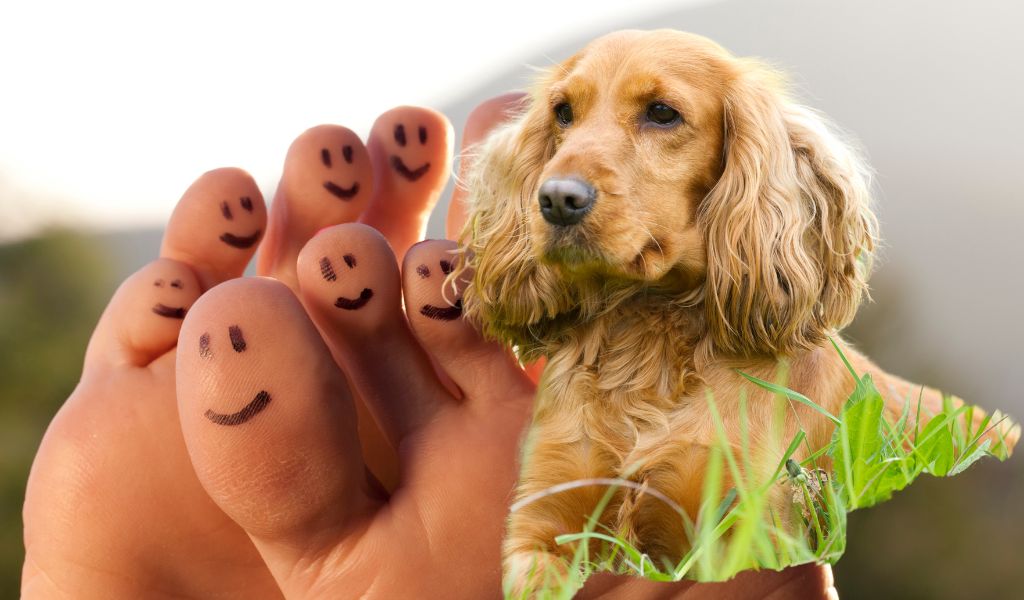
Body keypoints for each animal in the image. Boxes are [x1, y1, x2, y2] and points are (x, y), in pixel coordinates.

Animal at [454, 30, 1015, 585]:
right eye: (563, 112)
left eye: (662, 113)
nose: (555, 200)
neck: (646, 341)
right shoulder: (543, 521)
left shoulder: (744, 529)